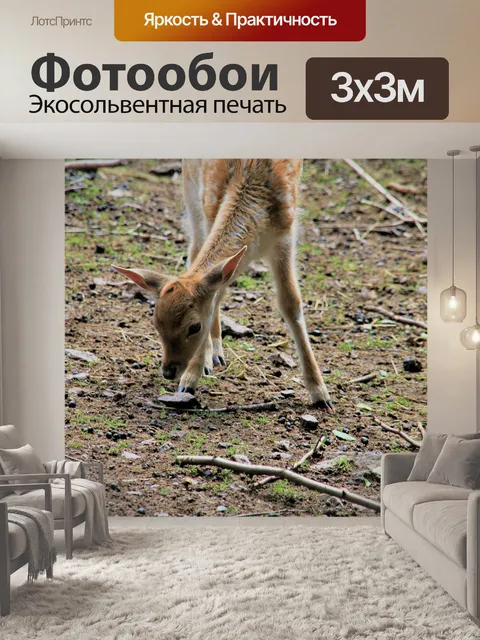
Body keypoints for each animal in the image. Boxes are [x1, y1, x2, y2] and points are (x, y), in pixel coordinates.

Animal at [113, 159, 332, 411]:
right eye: (155, 323)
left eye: (194, 327)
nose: (168, 371)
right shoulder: (210, 208)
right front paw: (190, 380)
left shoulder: (285, 234)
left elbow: (291, 303)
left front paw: (320, 393)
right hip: (191, 189)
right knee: (195, 252)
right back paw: (212, 355)